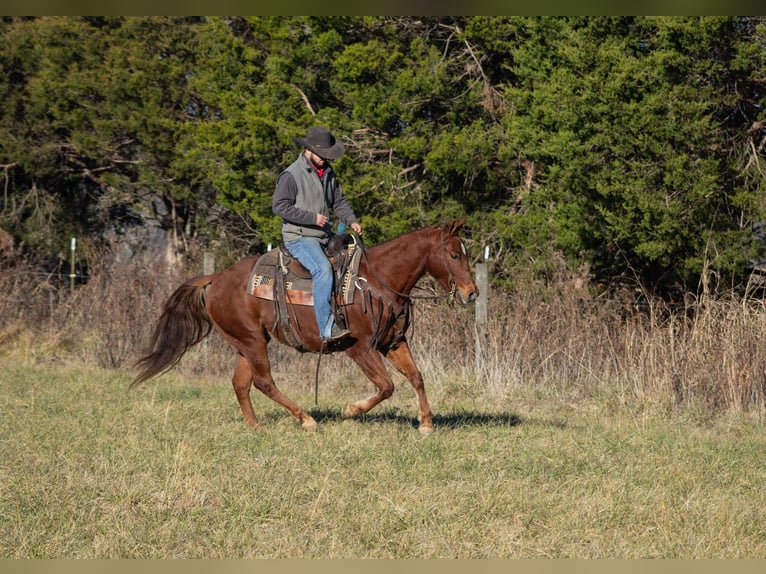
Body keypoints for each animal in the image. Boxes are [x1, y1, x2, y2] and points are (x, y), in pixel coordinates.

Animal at [132, 218, 480, 434]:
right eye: (453, 254)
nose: (471, 293)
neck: (376, 280)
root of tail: (216, 278)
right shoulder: (360, 349)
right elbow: (387, 386)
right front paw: (350, 410)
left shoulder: (393, 343)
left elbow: (416, 377)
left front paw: (426, 423)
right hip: (252, 341)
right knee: (263, 382)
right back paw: (305, 418)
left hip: (248, 342)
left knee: (241, 383)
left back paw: (256, 426)